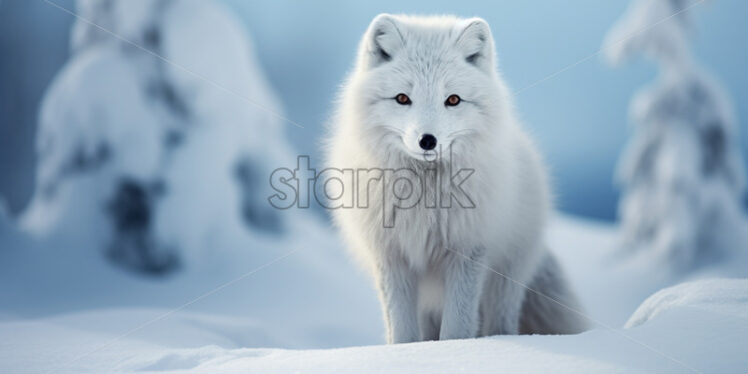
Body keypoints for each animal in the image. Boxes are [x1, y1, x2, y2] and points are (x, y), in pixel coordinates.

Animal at [328, 13, 592, 342]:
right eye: (402, 98)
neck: (425, 198)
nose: (427, 140)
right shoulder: (392, 256)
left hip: (505, 279)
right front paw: (404, 350)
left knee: (500, 323)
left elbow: (457, 327)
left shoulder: (468, 251)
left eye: (453, 100)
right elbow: (401, 331)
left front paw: (456, 348)